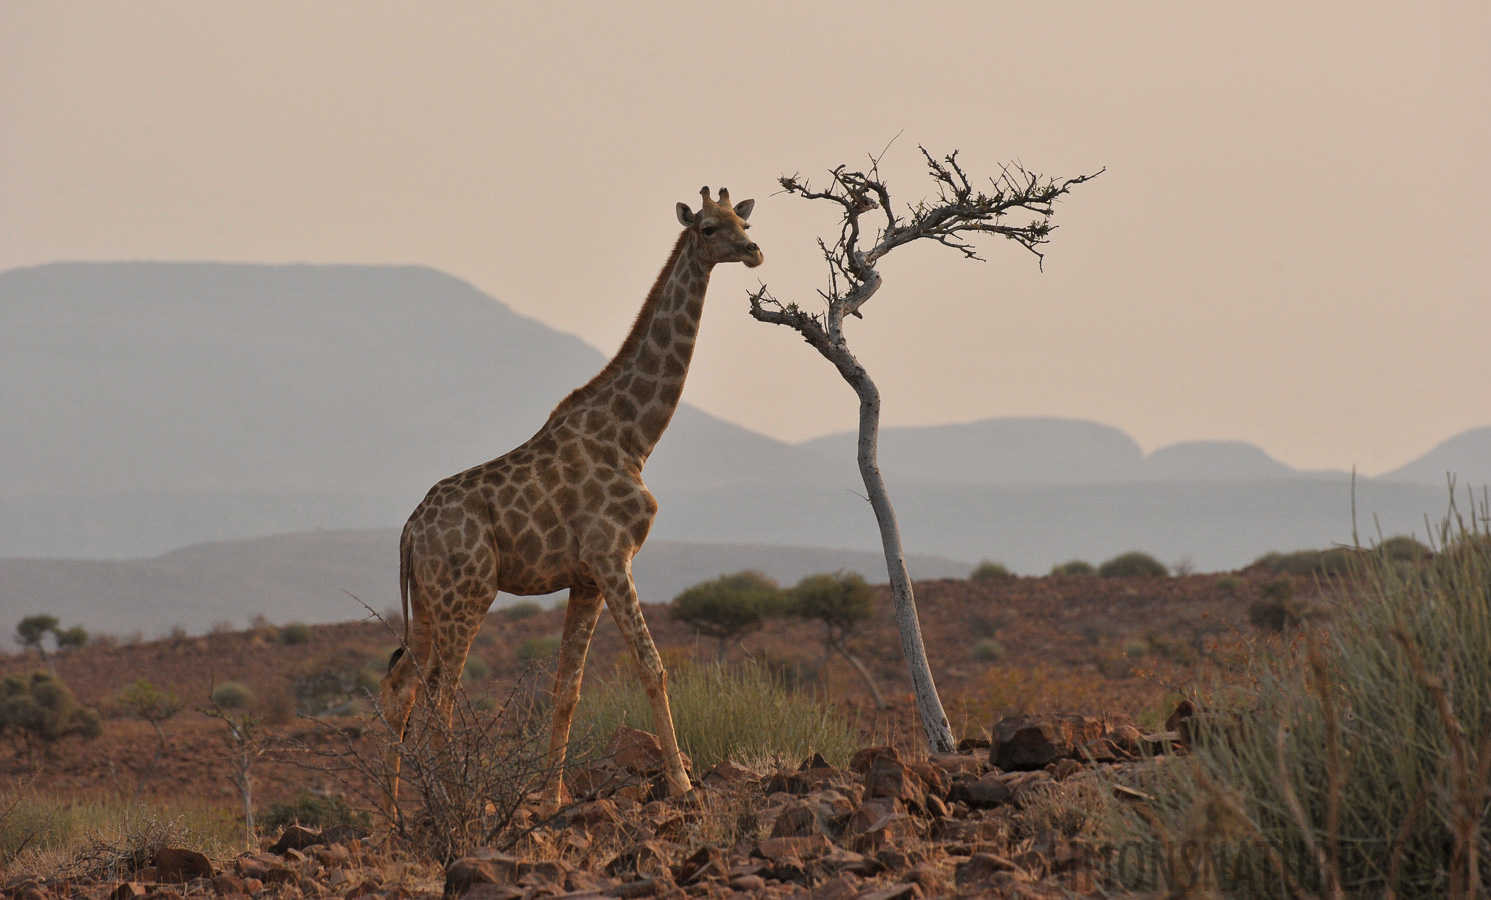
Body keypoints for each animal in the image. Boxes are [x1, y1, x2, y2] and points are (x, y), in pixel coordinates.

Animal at [378, 184, 763, 816]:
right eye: (708, 227)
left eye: (744, 221)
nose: (755, 252)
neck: (635, 437)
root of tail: (410, 531)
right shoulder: (613, 558)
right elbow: (652, 667)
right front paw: (683, 786)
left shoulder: (585, 578)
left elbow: (567, 689)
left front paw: (551, 797)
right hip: (467, 594)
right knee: (440, 694)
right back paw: (459, 806)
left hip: (430, 601)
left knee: (401, 686)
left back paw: (388, 821)